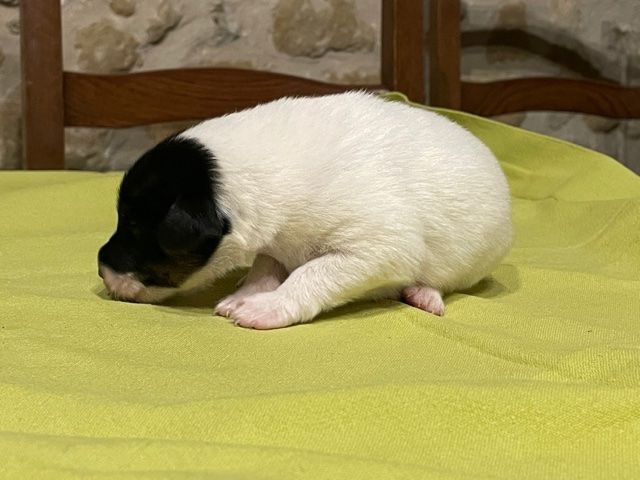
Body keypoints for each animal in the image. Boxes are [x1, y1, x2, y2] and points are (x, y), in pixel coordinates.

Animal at [98, 92, 512, 329]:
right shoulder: (273, 241)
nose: (101, 269)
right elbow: (265, 266)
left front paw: (268, 306)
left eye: (135, 226)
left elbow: (310, 273)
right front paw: (248, 291)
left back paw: (424, 294)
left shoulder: (377, 247)